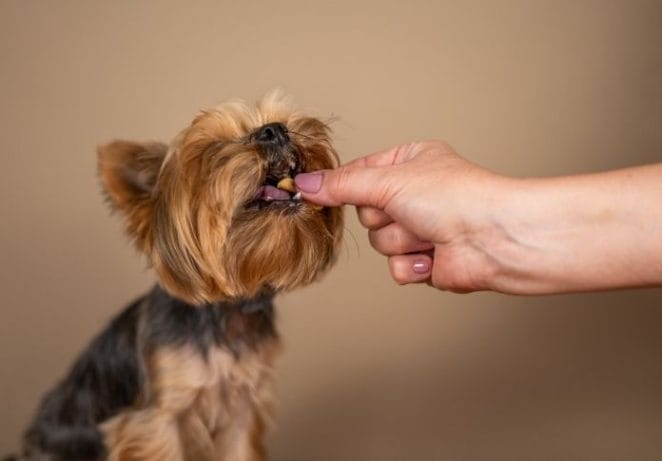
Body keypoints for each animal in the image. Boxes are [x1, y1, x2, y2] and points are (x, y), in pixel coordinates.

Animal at [7, 92, 344, 460]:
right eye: (213, 150)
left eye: (280, 121)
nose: (274, 130)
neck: (225, 314)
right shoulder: (157, 421)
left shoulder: (241, 412)